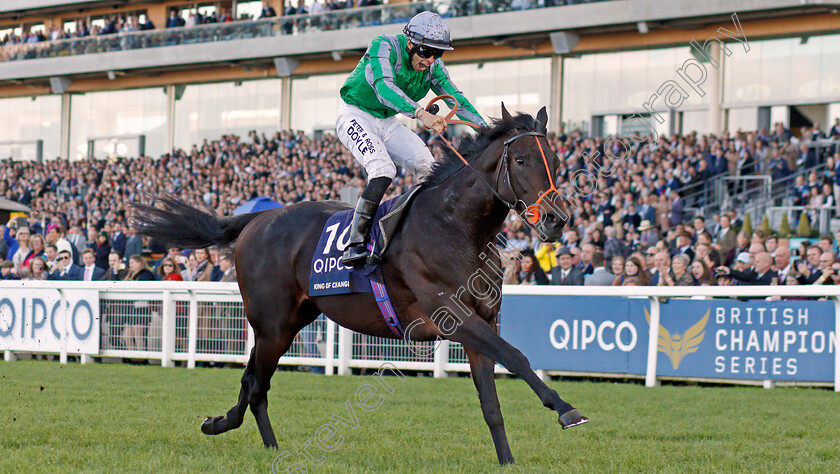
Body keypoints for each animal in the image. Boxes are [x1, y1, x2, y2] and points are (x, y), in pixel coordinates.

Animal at [135, 103, 588, 462]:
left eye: (554, 160)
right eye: (521, 161)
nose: (556, 219)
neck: (458, 226)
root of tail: (257, 218)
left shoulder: (483, 319)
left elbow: (491, 402)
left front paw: (508, 460)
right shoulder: (454, 314)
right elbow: (517, 357)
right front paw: (566, 409)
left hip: (291, 320)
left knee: (253, 381)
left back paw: (238, 432)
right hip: (272, 323)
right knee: (256, 383)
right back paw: (251, 439)